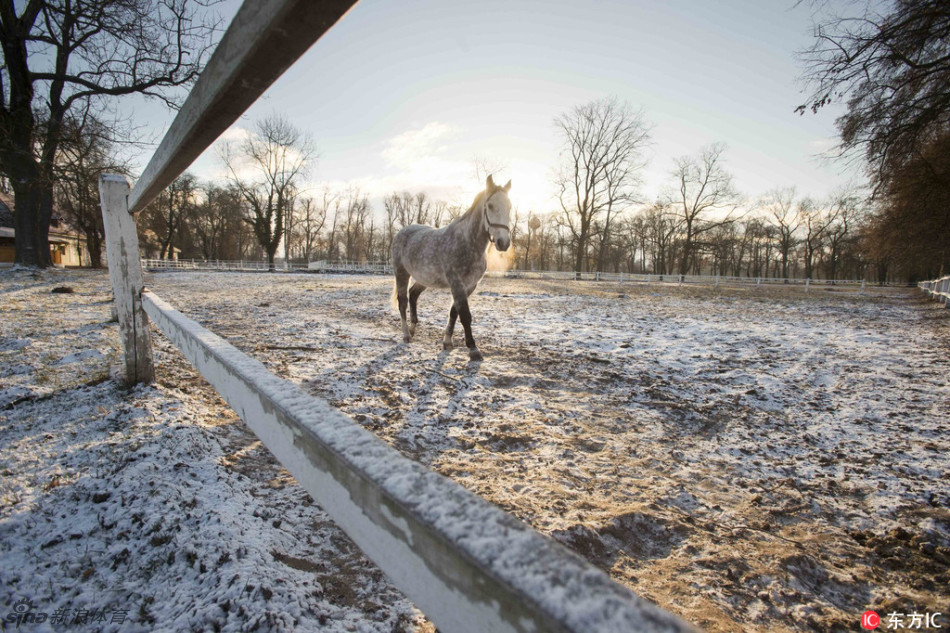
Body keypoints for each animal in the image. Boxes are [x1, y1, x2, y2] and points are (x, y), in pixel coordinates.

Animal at [394, 175, 512, 358]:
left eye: (510, 207)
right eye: (491, 206)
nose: (503, 243)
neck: (468, 243)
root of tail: (402, 231)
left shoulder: (470, 285)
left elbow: (454, 312)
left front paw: (447, 342)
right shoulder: (457, 284)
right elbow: (465, 315)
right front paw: (473, 348)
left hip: (425, 278)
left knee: (413, 294)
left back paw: (413, 329)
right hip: (401, 273)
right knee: (403, 302)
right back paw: (406, 334)